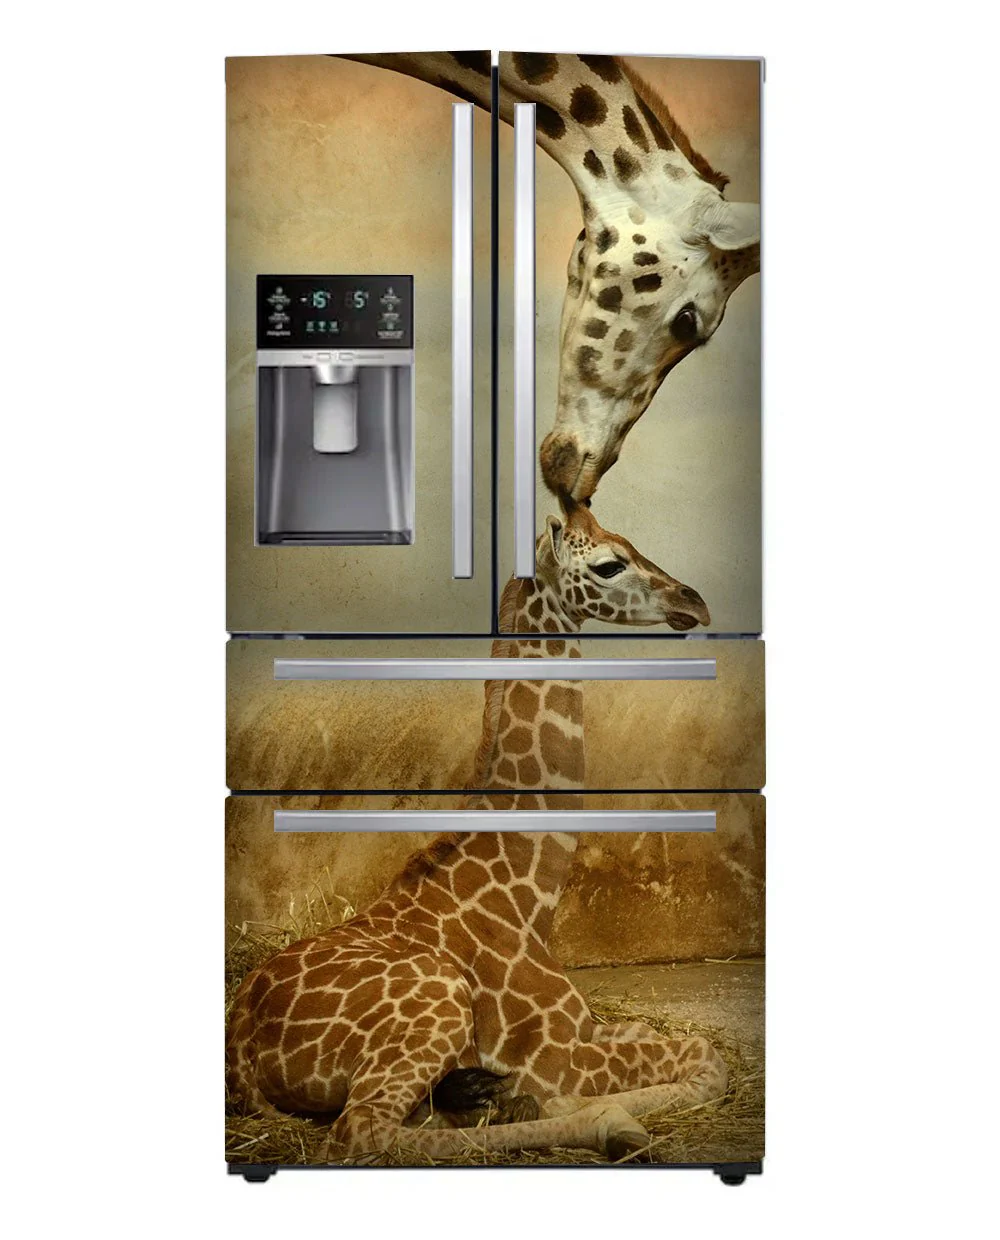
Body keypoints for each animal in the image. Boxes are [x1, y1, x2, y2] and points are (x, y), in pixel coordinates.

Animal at [226, 508, 721, 1162]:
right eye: (608, 564)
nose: (695, 602)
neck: (528, 895)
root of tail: (240, 1047)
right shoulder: (559, 1054)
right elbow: (707, 1058)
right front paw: (587, 1110)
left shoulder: (588, 1027)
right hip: (434, 1006)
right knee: (363, 1132)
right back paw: (600, 1120)